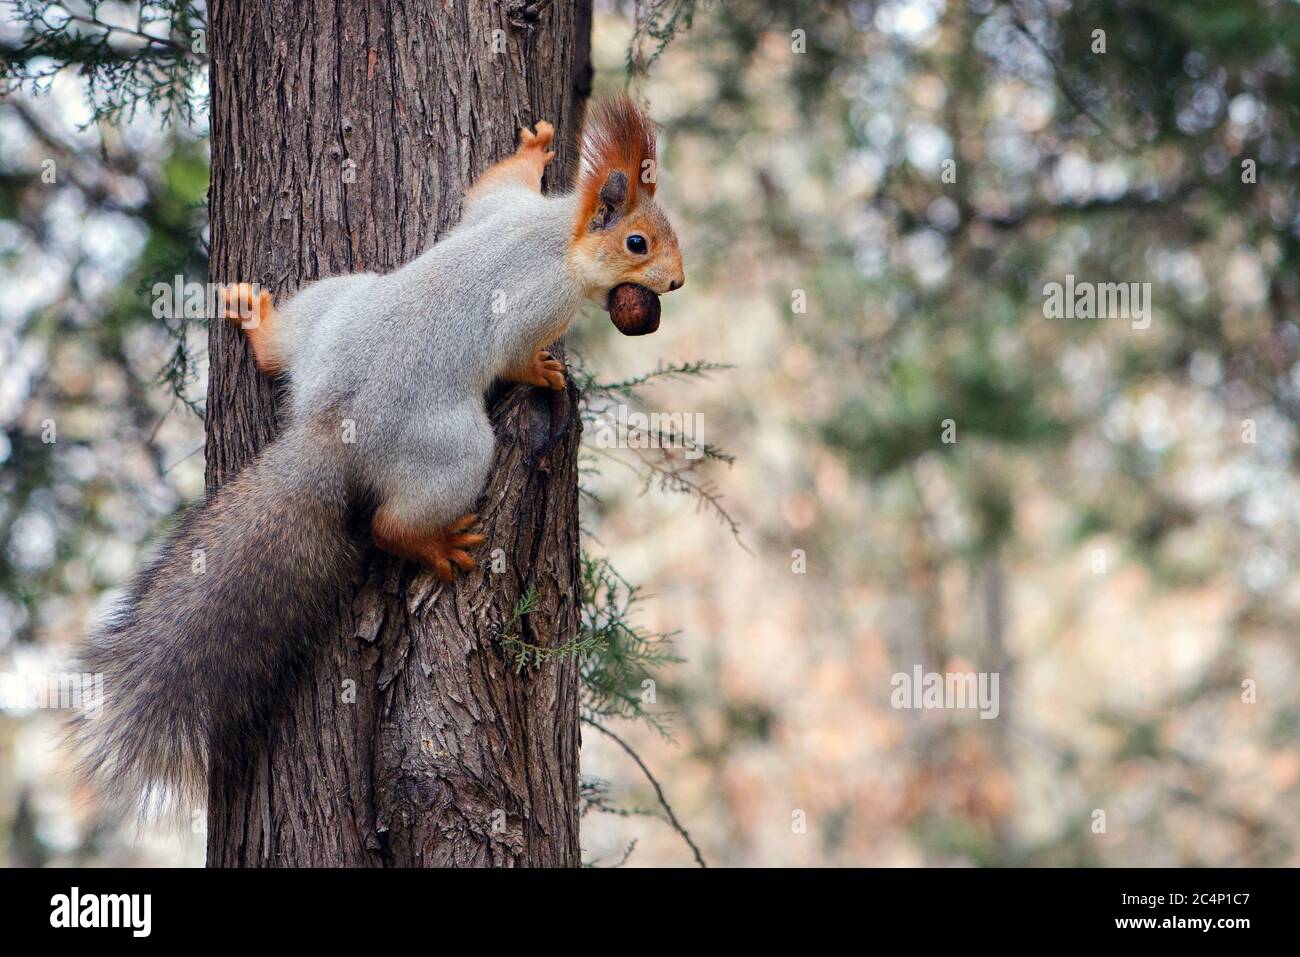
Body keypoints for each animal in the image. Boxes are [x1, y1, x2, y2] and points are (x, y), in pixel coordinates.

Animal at [72, 95, 685, 813]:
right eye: (637, 243)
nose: (677, 280)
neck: (554, 234)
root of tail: (330, 422)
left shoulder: (501, 209)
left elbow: (488, 187)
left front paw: (533, 148)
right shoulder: (539, 300)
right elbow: (512, 352)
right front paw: (541, 369)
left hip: (337, 301)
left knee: (286, 349)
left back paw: (261, 328)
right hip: (452, 448)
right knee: (388, 524)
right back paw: (433, 544)